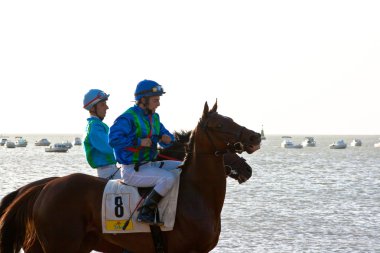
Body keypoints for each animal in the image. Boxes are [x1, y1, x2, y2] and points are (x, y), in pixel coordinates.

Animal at [0, 102, 262, 252]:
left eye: (231, 119)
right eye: (219, 125)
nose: (255, 137)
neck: (195, 195)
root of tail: (46, 188)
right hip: (61, 245)